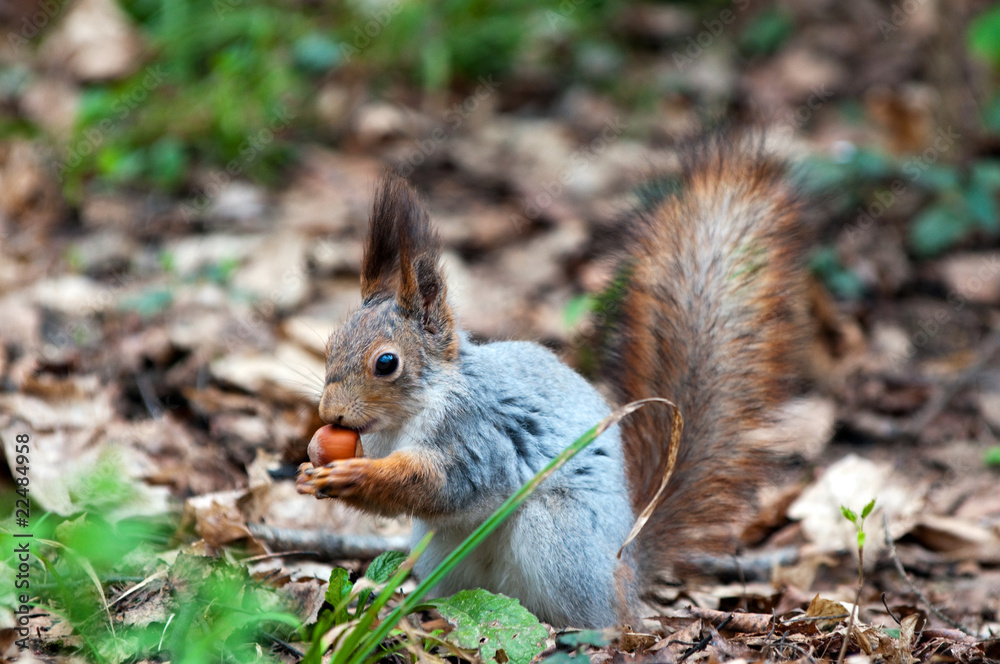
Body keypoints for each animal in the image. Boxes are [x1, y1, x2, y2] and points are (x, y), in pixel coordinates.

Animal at [296, 132, 810, 628]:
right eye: (331, 343)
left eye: (386, 363)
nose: (329, 413)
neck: (414, 410)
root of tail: (627, 569)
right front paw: (310, 472)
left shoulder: (478, 436)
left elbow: (447, 485)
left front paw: (355, 475)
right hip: (442, 550)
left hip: (559, 535)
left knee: (600, 618)